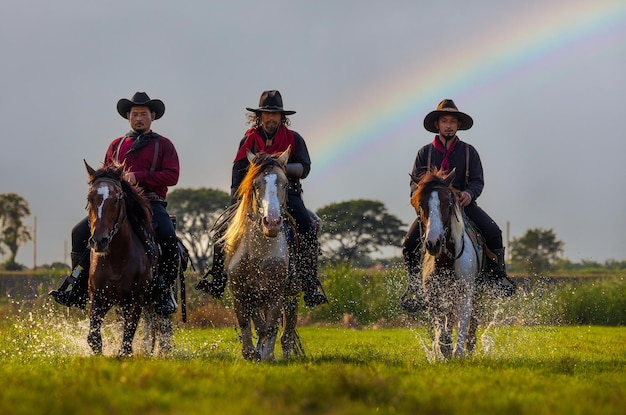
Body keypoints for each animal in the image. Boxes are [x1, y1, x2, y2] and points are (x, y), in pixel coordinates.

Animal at [84, 161, 157, 356]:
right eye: (89, 198)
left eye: (116, 199)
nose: (99, 241)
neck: (116, 259)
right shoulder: (98, 297)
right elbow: (93, 337)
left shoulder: (135, 301)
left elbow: (127, 342)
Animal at [221, 150, 304, 360]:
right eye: (255, 185)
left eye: (285, 184)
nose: (272, 222)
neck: (258, 254)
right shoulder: (241, 294)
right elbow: (249, 324)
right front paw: (252, 353)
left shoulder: (275, 294)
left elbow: (270, 327)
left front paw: (266, 354)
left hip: (291, 295)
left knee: (286, 333)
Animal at [410, 167, 482, 360]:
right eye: (421, 204)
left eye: (447, 203)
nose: (433, 243)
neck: (445, 262)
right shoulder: (433, 295)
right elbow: (440, 325)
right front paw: (442, 347)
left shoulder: (466, 293)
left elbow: (463, 325)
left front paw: (458, 352)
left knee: (472, 324)